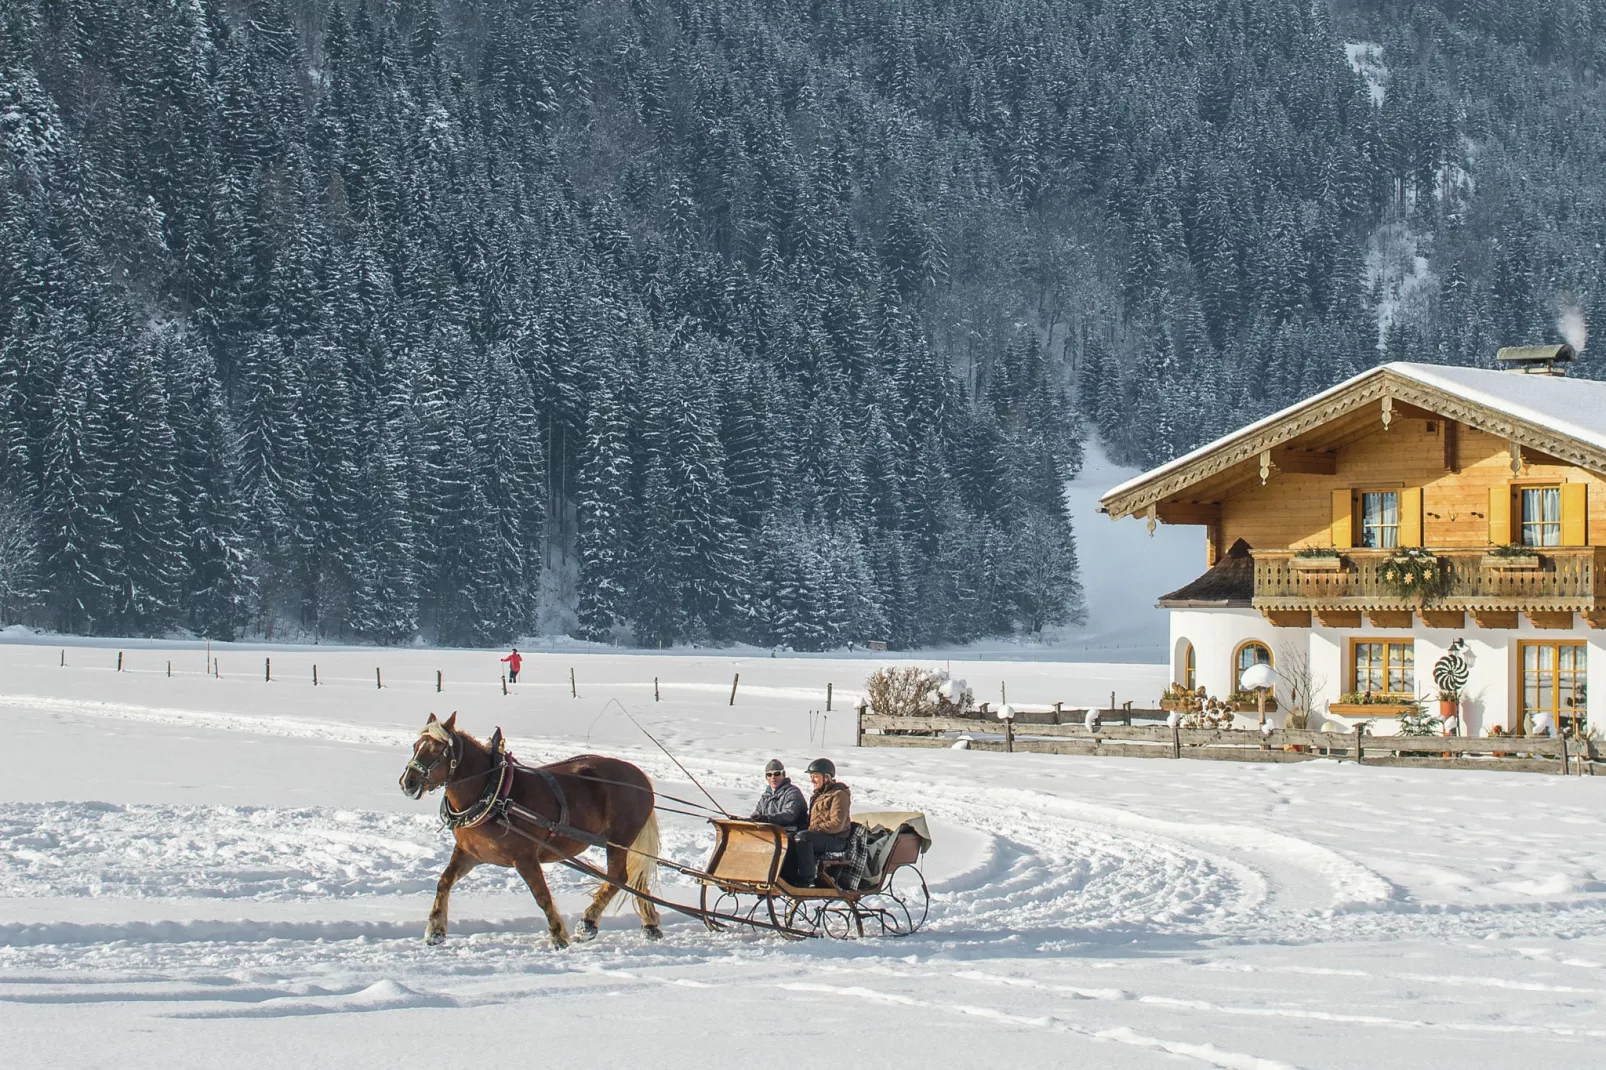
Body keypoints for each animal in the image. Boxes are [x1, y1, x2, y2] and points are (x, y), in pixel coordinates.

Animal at [398, 713, 661, 944]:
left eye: (438, 750)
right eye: (415, 745)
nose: (407, 783)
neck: (493, 793)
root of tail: (641, 779)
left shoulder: (524, 857)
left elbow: (541, 895)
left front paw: (558, 936)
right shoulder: (469, 853)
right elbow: (444, 882)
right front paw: (435, 931)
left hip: (619, 840)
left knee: (618, 877)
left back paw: (588, 923)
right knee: (634, 879)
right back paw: (650, 925)